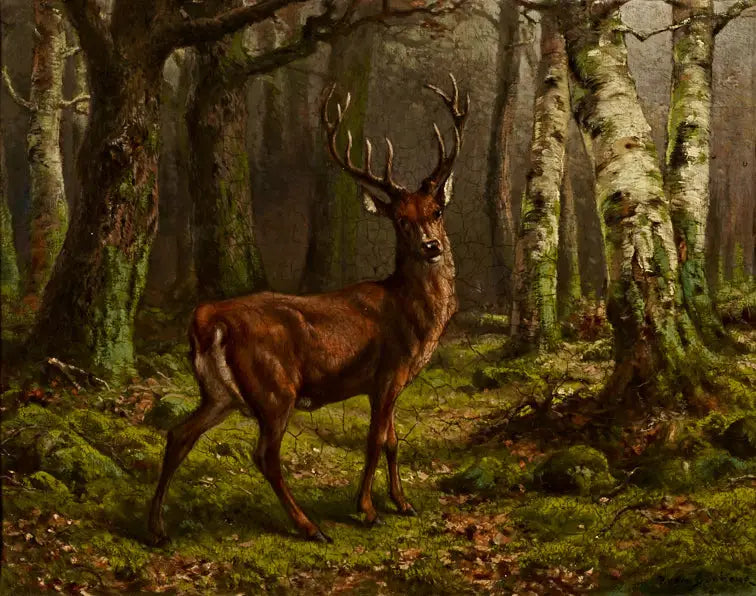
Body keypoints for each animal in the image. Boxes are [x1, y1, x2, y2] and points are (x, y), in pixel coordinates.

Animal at [149, 74, 469, 544]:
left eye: (437, 210)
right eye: (401, 220)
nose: (431, 246)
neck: (415, 318)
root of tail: (208, 318)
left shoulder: (389, 382)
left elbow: (392, 441)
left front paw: (403, 503)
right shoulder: (387, 372)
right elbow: (375, 440)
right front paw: (366, 509)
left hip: (219, 393)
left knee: (177, 435)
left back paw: (156, 527)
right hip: (274, 387)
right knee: (263, 455)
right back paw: (309, 526)